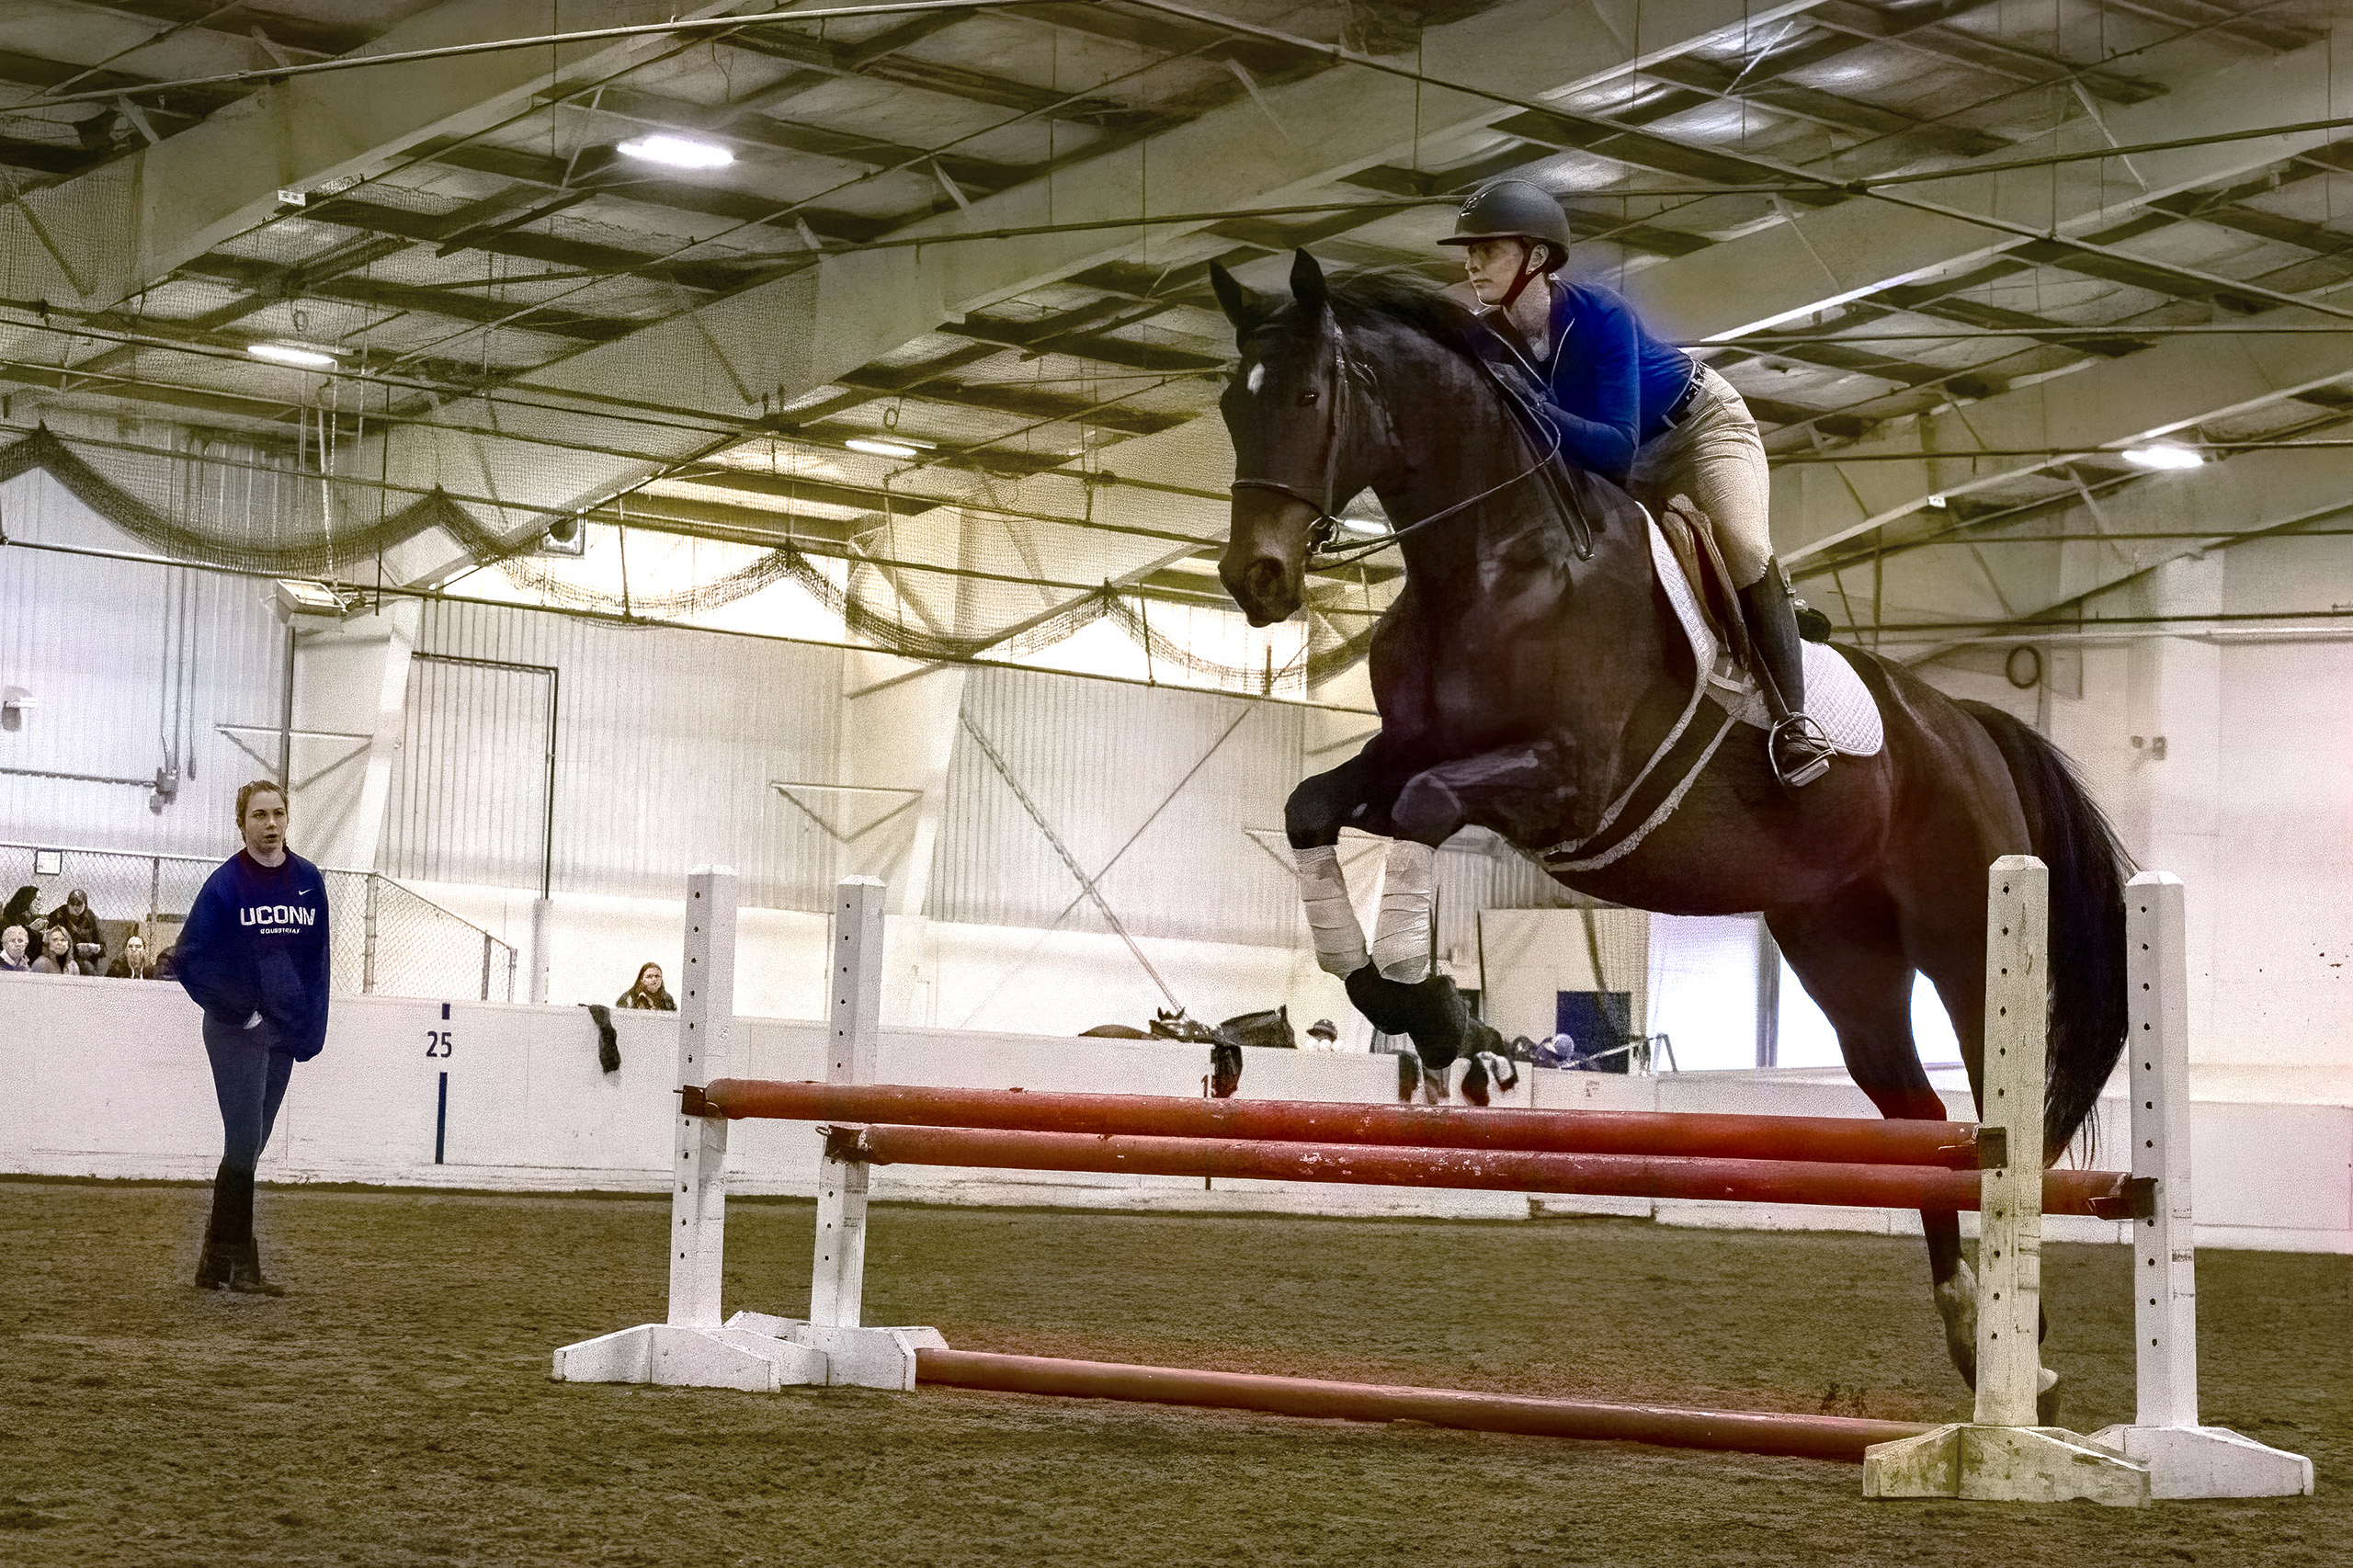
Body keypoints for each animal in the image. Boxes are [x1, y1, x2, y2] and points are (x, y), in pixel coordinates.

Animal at [1213, 250, 2136, 1412]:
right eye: (1226, 405)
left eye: (1304, 397)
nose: (1254, 581)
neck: (1491, 562)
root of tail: (1969, 723)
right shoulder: (1406, 753)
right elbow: (1314, 807)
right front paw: (1382, 985)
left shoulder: (1564, 778)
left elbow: (1423, 813)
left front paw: (1427, 1006)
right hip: (1843, 955)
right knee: (1921, 1117)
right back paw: (1974, 1332)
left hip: (1969, 939)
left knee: (2003, 1124)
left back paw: (2028, 1355)